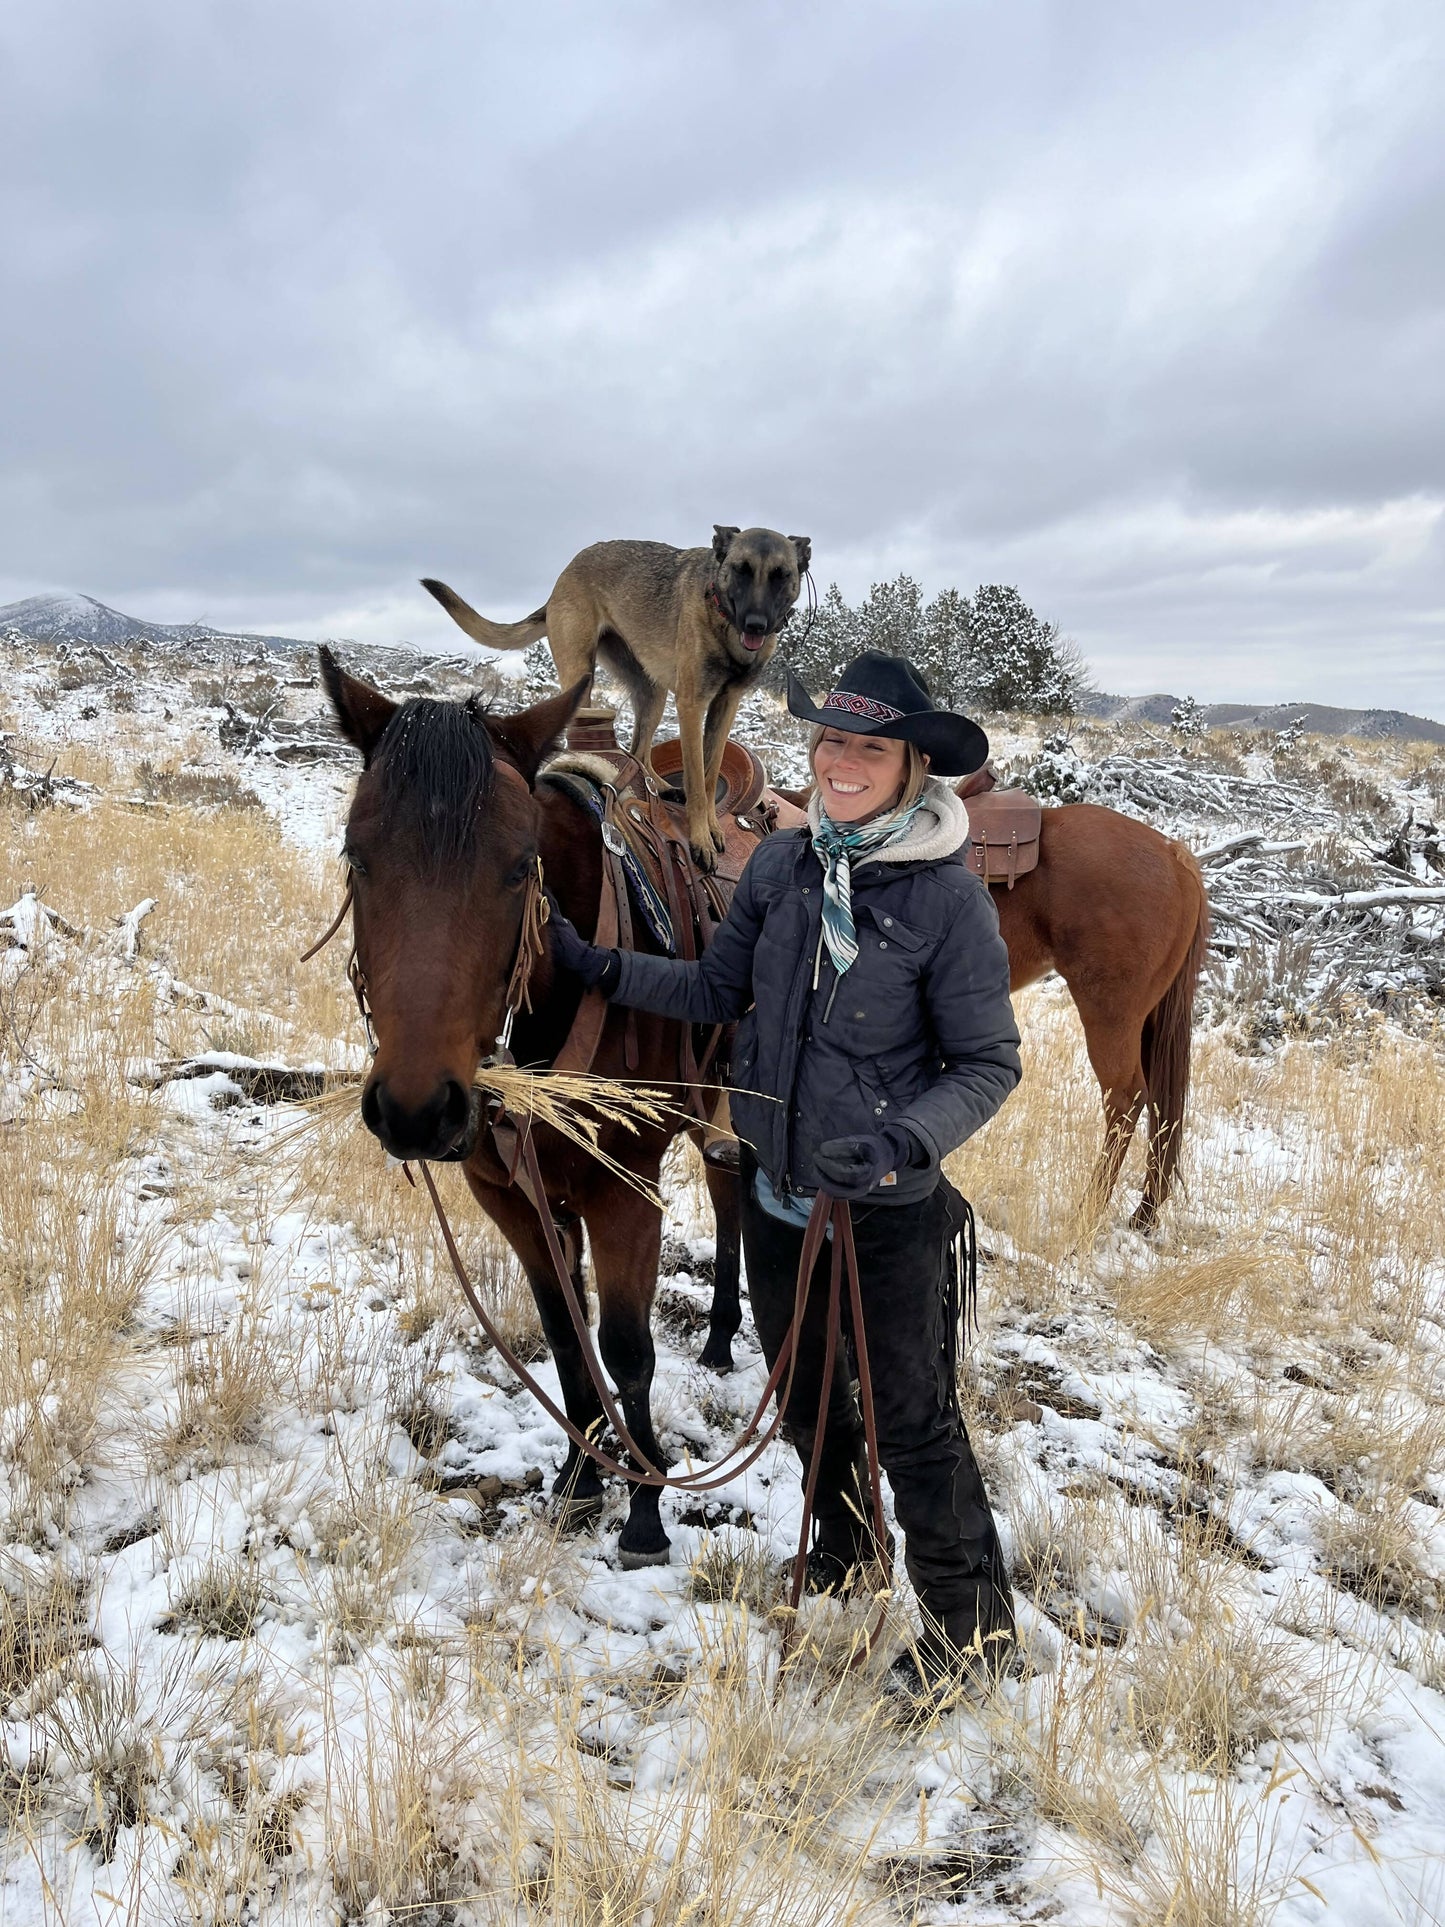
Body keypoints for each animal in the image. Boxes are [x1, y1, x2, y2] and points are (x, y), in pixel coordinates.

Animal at [321, 647, 739, 1564]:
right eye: (357, 855)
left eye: (519, 866)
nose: (416, 1108)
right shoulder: (509, 1194)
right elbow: (563, 1333)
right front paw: (581, 1481)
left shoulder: (624, 1188)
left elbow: (626, 1349)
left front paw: (644, 1511)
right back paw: (724, 1337)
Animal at [423, 520, 820, 867]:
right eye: (741, 570)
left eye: (781, 575)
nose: (757, 625)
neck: (721, 616)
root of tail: (564, 574)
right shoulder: (692, 704)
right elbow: (695, 776)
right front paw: (700, 838)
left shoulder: (726, 704)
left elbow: (709, 778)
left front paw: (711, 826)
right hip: (582, 676)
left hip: (653, 693)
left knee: (639, 752)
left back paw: (662, 788)